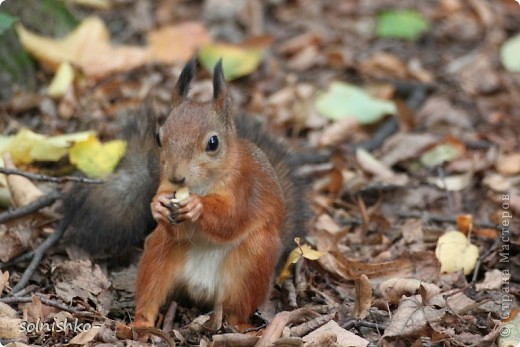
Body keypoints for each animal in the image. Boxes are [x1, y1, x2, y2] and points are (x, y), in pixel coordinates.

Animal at [63, 59, 310, 328]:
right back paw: (141, 324)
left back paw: (239, 326)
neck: (200, 185)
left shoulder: (244, 188)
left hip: (253, 262)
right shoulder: (165, 186)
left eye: (213, 143)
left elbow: (232, 219)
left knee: (239, 308)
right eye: (158, 138)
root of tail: (201, 289)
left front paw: (197, 207)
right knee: (151, 290)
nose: (176, 176)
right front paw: (157, 206)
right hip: (159, 252)